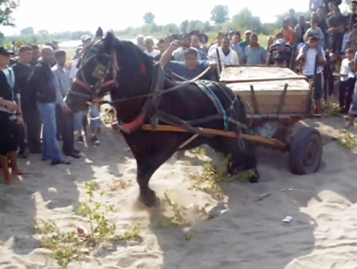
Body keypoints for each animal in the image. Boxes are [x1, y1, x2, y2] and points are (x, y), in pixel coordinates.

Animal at [64, 27, 258, 206]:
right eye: (79, 62)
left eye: (97, 65)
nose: (69, 101)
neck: (150, 102)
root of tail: (234, 95)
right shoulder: (137, 146)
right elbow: (141, 175)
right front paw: (145, 197)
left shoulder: (167, 147)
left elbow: (144, 174)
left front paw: (149, 199)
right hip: (215, 137)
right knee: (230, 153)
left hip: (233, 135)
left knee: (245, 148)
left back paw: (252, 173)